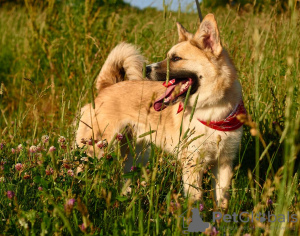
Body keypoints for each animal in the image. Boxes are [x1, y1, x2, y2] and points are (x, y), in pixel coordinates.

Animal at [75, 13, 246, 208]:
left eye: (176, 58)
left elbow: (222, 202)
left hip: (136, 156)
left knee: (125, 182)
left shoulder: (224, 163)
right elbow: (195, 201)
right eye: (168, 56)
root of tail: (107, 87)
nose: (146, 69)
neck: (212, 109)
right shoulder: (192, 164)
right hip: (93, 150)